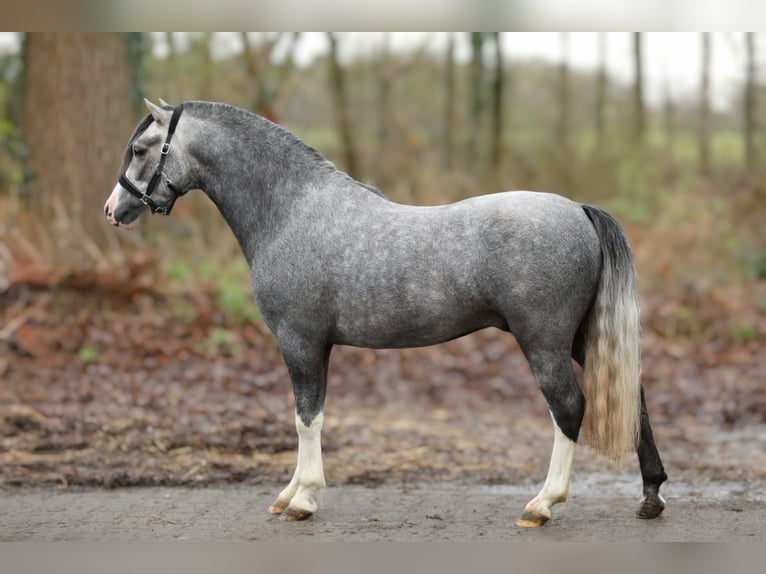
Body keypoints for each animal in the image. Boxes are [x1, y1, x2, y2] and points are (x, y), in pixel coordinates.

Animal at [104, 99, 667, 527]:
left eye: (140, 149)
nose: (113, 211)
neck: (291, 211)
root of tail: (577, 209)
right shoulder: (315, 347)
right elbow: (306, 416)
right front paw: (289, 493)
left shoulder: (299, 342)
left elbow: (306, 417)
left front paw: (303, 499)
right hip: (579, 338)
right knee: (633, 395)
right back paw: (651, 495)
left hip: (544, 342)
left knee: (570, 408)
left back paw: (542, 505)